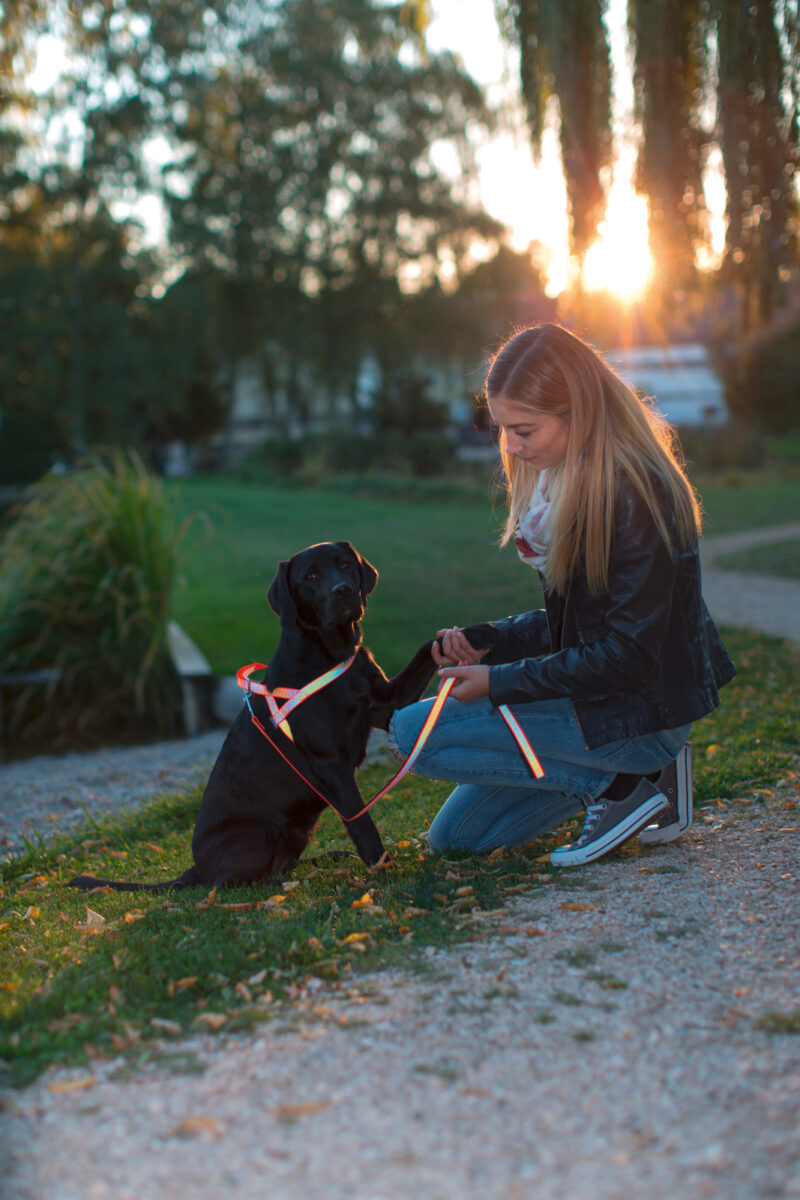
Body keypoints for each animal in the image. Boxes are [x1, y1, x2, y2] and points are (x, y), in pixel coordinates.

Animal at [70, 544, 494, 892]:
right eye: (310, 577)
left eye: (345, 564)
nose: (343, 591)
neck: (331, 653)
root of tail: (194, 869)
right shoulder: (331, 766)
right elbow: (362, 823)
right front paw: (384, 870)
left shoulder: (387, 701)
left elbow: (429, 645)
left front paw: (478, 631)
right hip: (265, 830)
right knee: (230, 883)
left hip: (296, 833)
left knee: (282, 865)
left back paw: (325, 861)